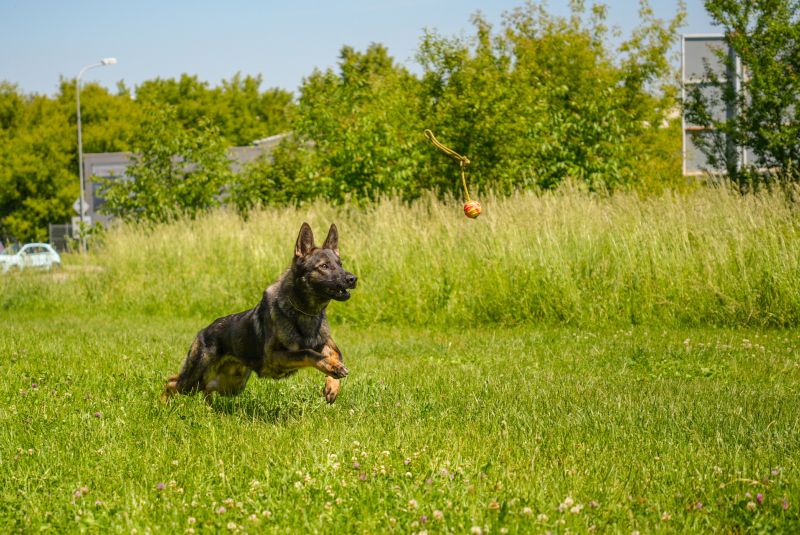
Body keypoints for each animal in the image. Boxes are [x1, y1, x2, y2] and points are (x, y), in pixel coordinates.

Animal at [161, 223, 358, 406]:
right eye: (324, 266)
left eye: (340, 265)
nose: (353, 279)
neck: (303, 312)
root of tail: (203, 331)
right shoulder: (276, 357)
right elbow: (308, 353)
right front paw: (330, 367)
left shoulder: (323, 343)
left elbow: (336, 352)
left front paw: (332, 382)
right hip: (194, 380)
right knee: (172, 381)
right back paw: (163, 404)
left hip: (231, 386)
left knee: (207, 387)